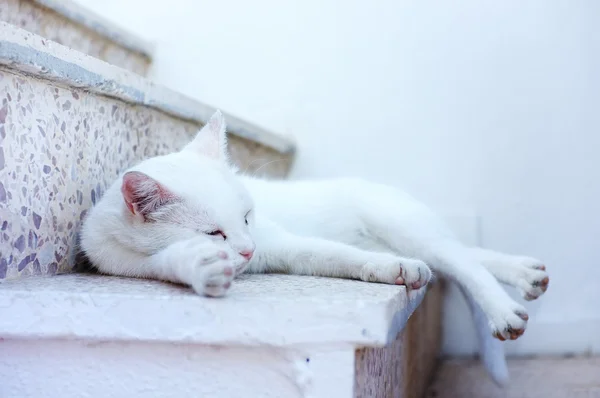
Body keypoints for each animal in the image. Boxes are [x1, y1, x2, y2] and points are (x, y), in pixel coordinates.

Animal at [79, 110, 548, 384]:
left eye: (247, 216)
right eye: (214, 233)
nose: (247, 251)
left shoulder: (285, 243)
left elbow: (342, 256)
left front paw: (397, 269)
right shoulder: (128, 263)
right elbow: (173, 261)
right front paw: (206, 269)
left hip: (404, 226)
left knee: (464, 261)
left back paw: (504, 308)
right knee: (465, 255)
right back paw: (526, 273)